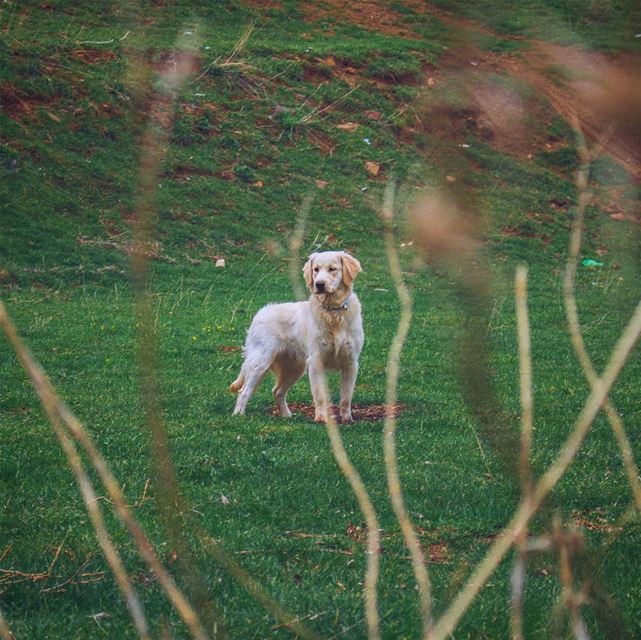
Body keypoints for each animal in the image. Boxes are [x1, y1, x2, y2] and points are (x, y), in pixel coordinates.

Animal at [230, 251, 362, 424]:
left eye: (332, 269)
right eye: (316, 269)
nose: (319, 284)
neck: (333, 312)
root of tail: (260, 313)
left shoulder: (351, 363)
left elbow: (346, 397)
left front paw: (347, 419)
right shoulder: (316, 362)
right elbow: (320, 396)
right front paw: (321, 418)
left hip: (294, 368)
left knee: (277, 391)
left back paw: (286, 415)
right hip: (260, 363)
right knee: (244, 391)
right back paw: (238, 414)